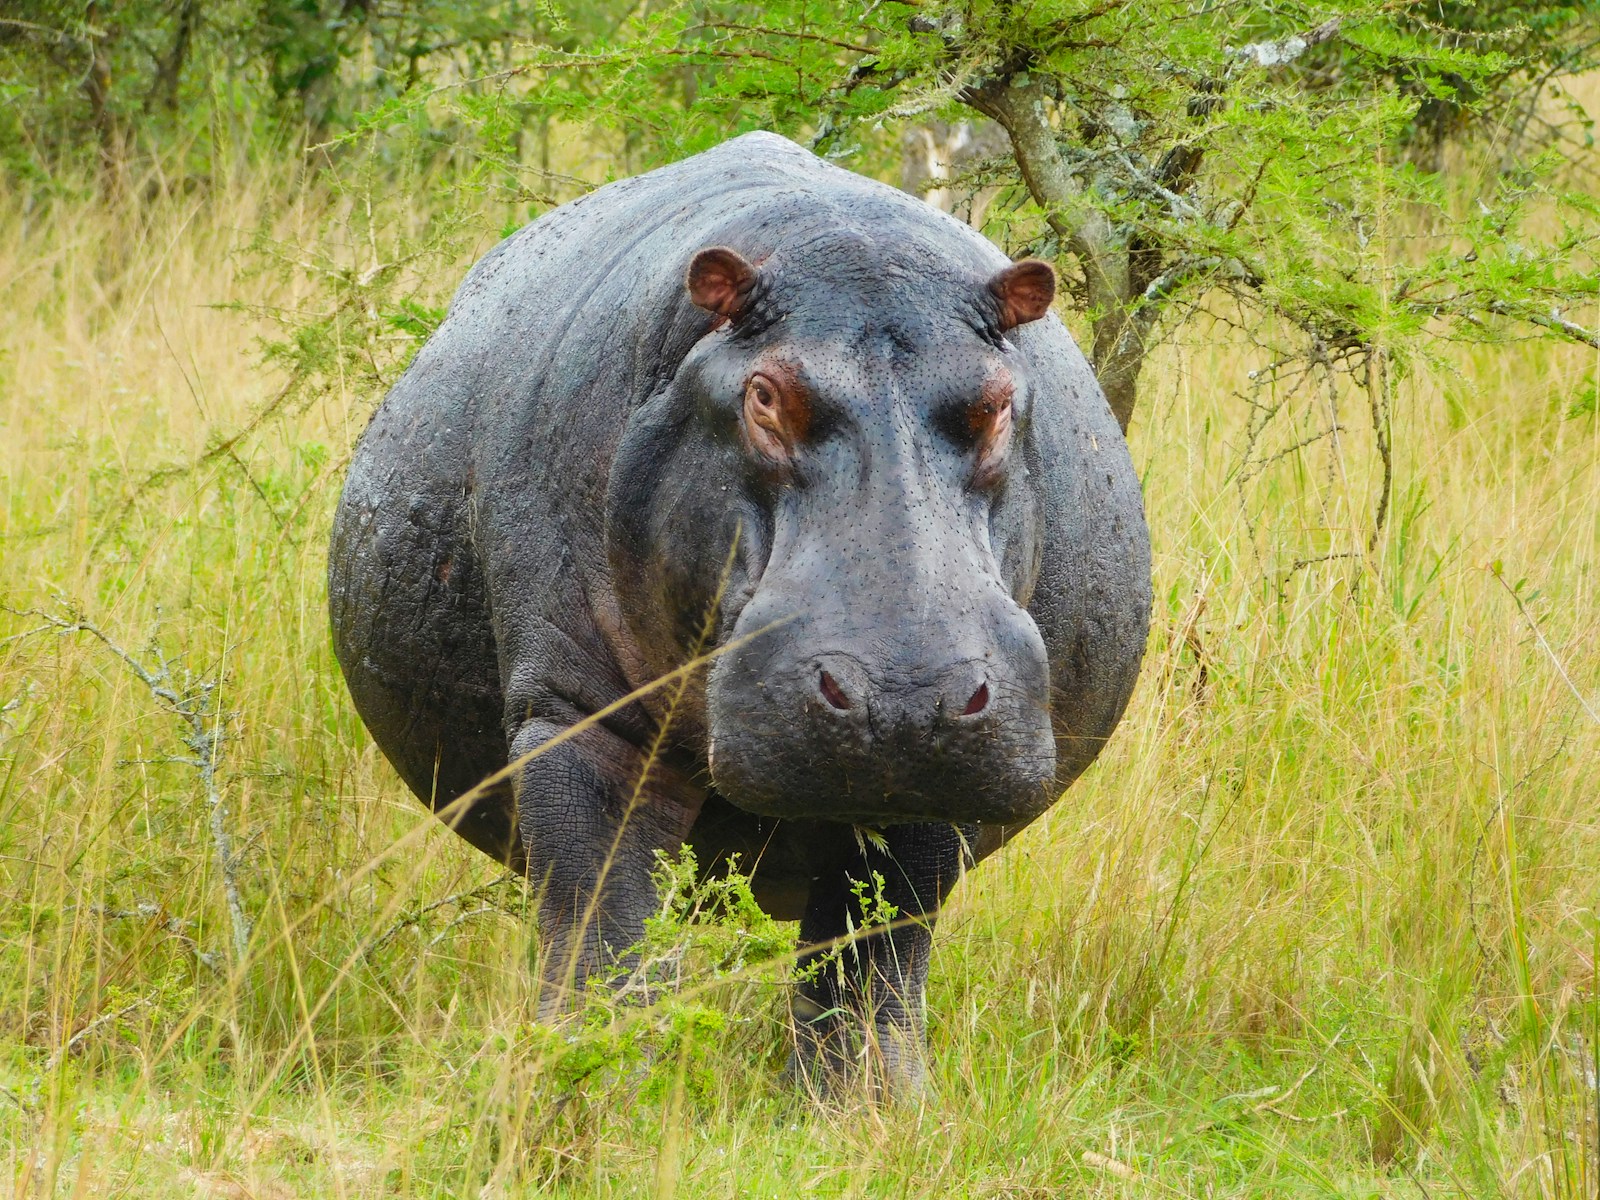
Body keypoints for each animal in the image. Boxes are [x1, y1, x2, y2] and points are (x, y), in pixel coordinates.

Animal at [328, 131, 1150, 1094]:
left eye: (996, 403)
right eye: (763, 396)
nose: (905, 695)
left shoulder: (942, 775)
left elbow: (878, 953)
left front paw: (871, 1105)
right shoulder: (579, 717)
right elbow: (602, 923)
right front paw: (600, 1085)